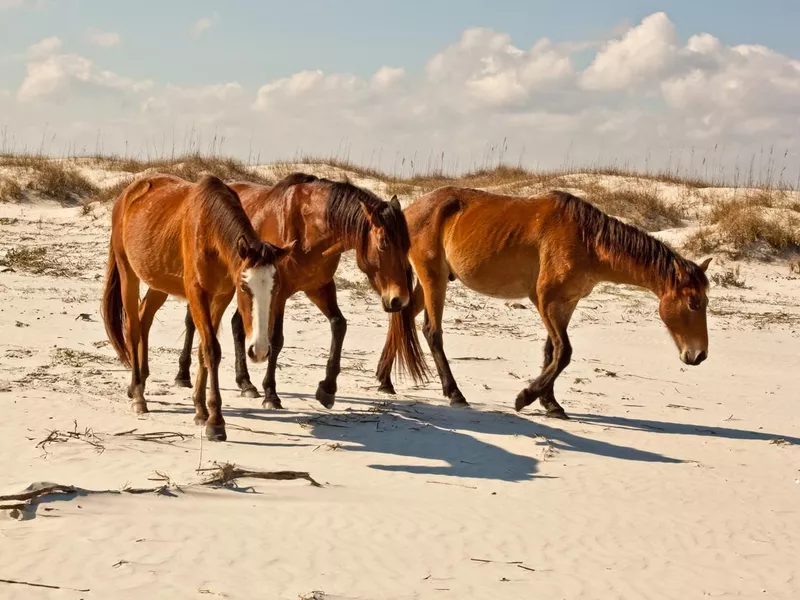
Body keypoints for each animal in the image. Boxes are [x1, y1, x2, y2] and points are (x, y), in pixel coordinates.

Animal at [101, 173, 292, 440]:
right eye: (245, 288)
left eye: (275, 290)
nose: (261, 350)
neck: (210, 230)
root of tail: (128, 194)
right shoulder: (197, 294)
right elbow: (212, 349)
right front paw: (216, 421)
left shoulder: (220, 297)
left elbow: (203, 350)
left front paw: (201, 410)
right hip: (128, 272)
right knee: (133, 328)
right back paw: (138, 394)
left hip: (160, 282)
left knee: (144, 317)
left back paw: (137, 384)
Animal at [173, 171, 424, 410]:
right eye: (383, 244)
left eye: (407, 245)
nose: (399, 300)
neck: (308, 229)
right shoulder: (281, 293)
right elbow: (276, 339)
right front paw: (271, 394)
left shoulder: (318, 288)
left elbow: (339, 325)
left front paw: (327, 389)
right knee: (193, 321)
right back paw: (183, 375)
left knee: (237, 324)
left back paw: (245, 383)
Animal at [376, 188, 712, 418]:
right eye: (693, 303)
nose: (698, 356)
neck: (588, 240)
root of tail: (410, 211)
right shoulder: (545, 301)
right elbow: (563, 353)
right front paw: (525, 397)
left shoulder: (566, 304)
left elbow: (553, 351)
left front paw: (550, 403)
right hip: (433, 280)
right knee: (432, 332)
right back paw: (454, 393)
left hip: (432, 282)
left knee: (402, 317)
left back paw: (384, 380)